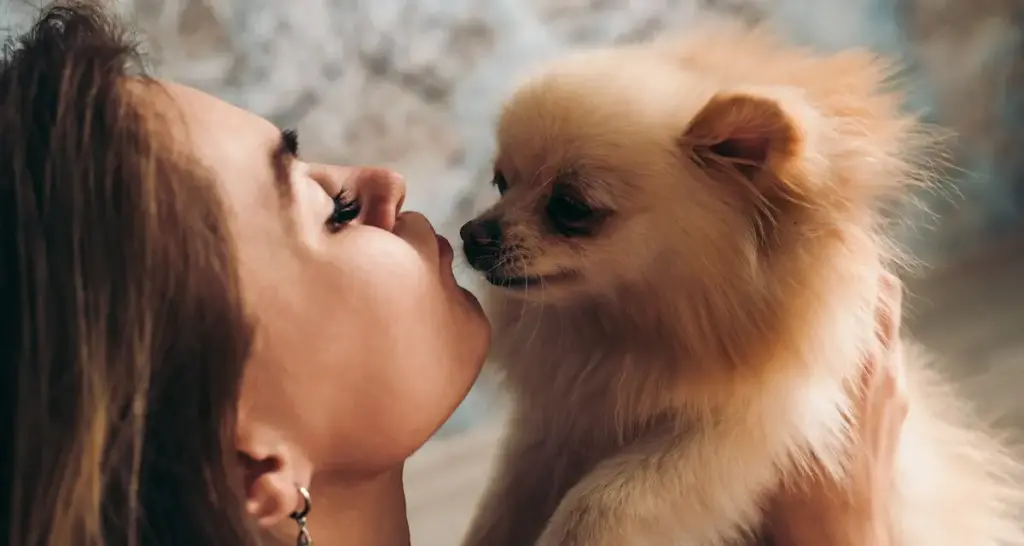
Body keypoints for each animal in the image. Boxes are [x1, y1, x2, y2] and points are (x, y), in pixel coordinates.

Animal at [458, 21, 1024, 544]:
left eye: (571, 208)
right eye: (501, 183)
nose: (469, 234)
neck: (630, 326)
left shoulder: (742, 427)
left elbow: (603, 502)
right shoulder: (552, 426)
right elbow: (505, 503)